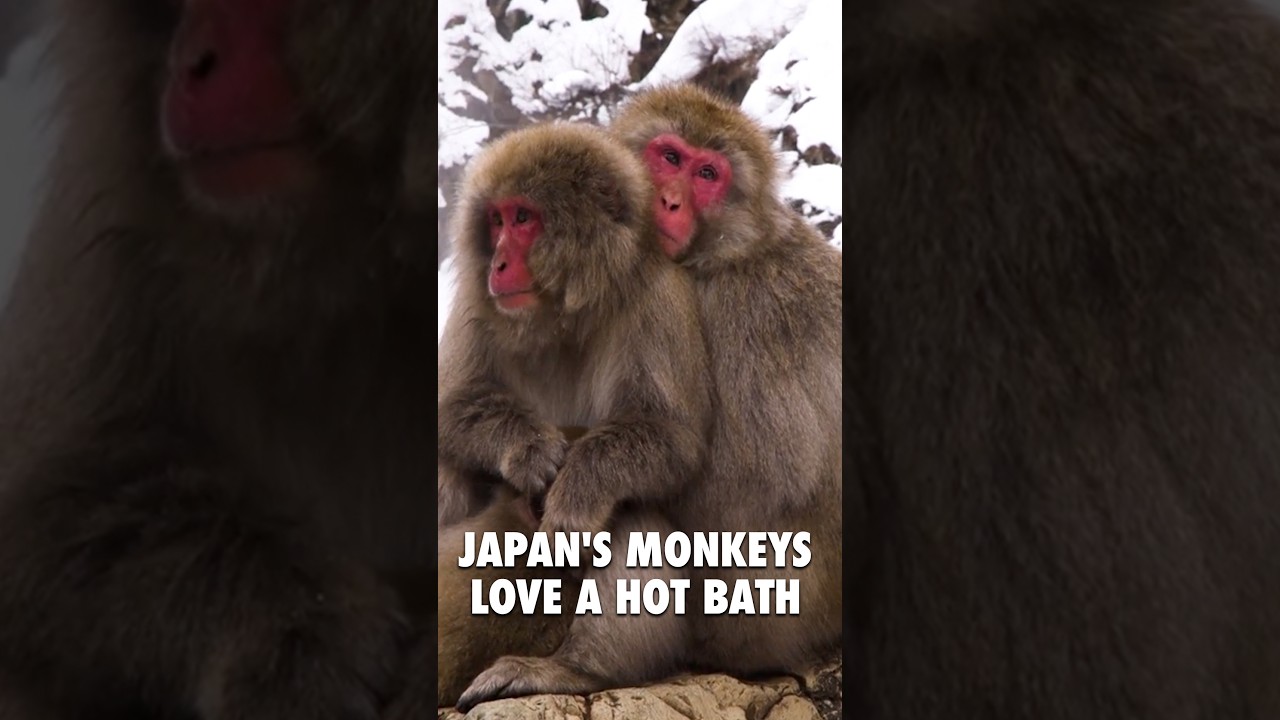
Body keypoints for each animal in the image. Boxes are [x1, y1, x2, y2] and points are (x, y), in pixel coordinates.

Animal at [434, 121, 713, 711]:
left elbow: (669, 435)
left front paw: (577, 492)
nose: (497, 262)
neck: (563, 314)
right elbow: (452, 404)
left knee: (635, 511)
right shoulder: (476, 299)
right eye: (496, 220)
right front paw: (529, 449)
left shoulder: (659, 295)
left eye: (524, 218)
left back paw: (570, 669)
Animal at [607, 84, 844, 677]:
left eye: (707, 174)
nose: (669, 201)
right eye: (670, 157)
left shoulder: (742, 314)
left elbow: (758, 477)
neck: (722, 254)